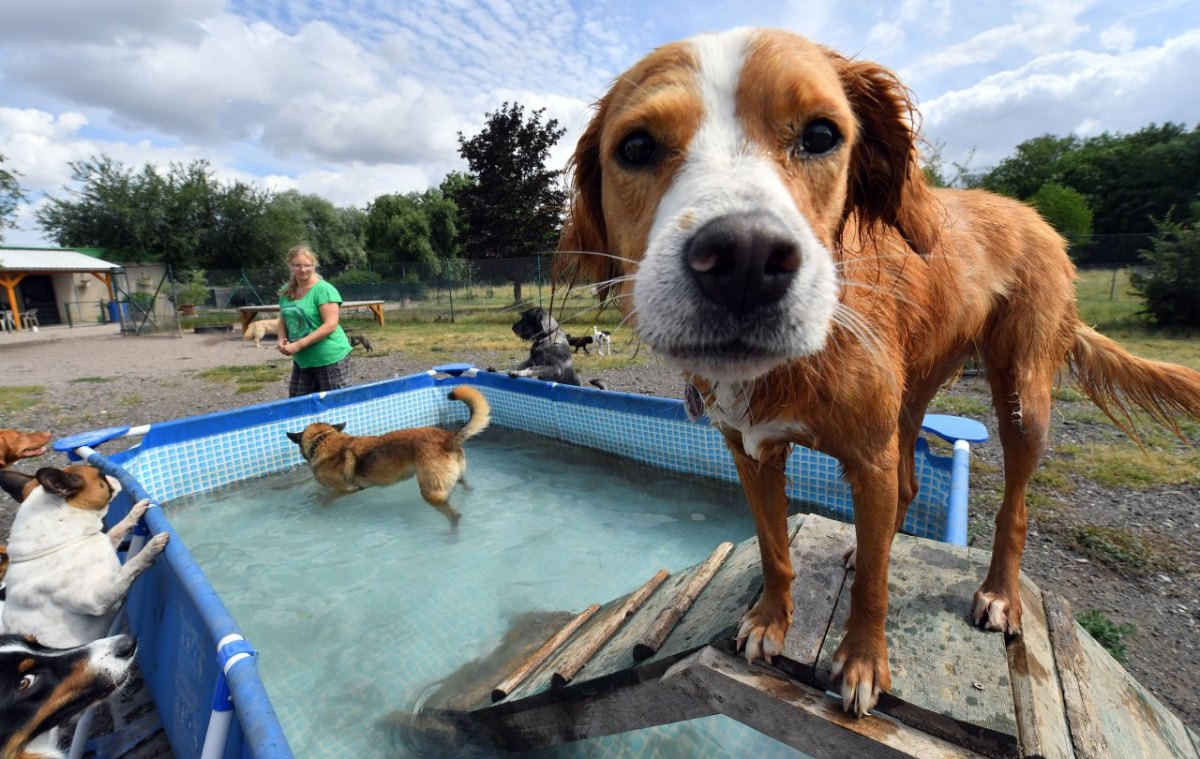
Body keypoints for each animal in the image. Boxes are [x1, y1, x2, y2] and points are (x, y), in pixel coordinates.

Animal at [0, 465, 170, 648]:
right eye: (102, 475)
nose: (112, 476)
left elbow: (117, 530)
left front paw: (135, 512)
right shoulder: (96, 598)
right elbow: (128, 568)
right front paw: (150, 547)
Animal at [285, 389, 487, 523]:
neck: (323, 440)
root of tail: (447, 439)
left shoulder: (346, 489)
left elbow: (326, 498)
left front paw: (319, 505)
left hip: (431, 492)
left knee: (454, 515)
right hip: (457, 478)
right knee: (466, 487)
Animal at [559, 28, 1200, 715]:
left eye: (821, 135)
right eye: (636, 147)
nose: (745, 260)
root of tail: (1036, 216)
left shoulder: (867, 456)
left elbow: (873, 581)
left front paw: (864, 662)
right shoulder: (752, 453)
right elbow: (775, 548)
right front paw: (770, 622)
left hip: (1022, 396)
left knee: (1013, 508)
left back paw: (999, 593)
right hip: (913, 392)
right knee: (911, 484)